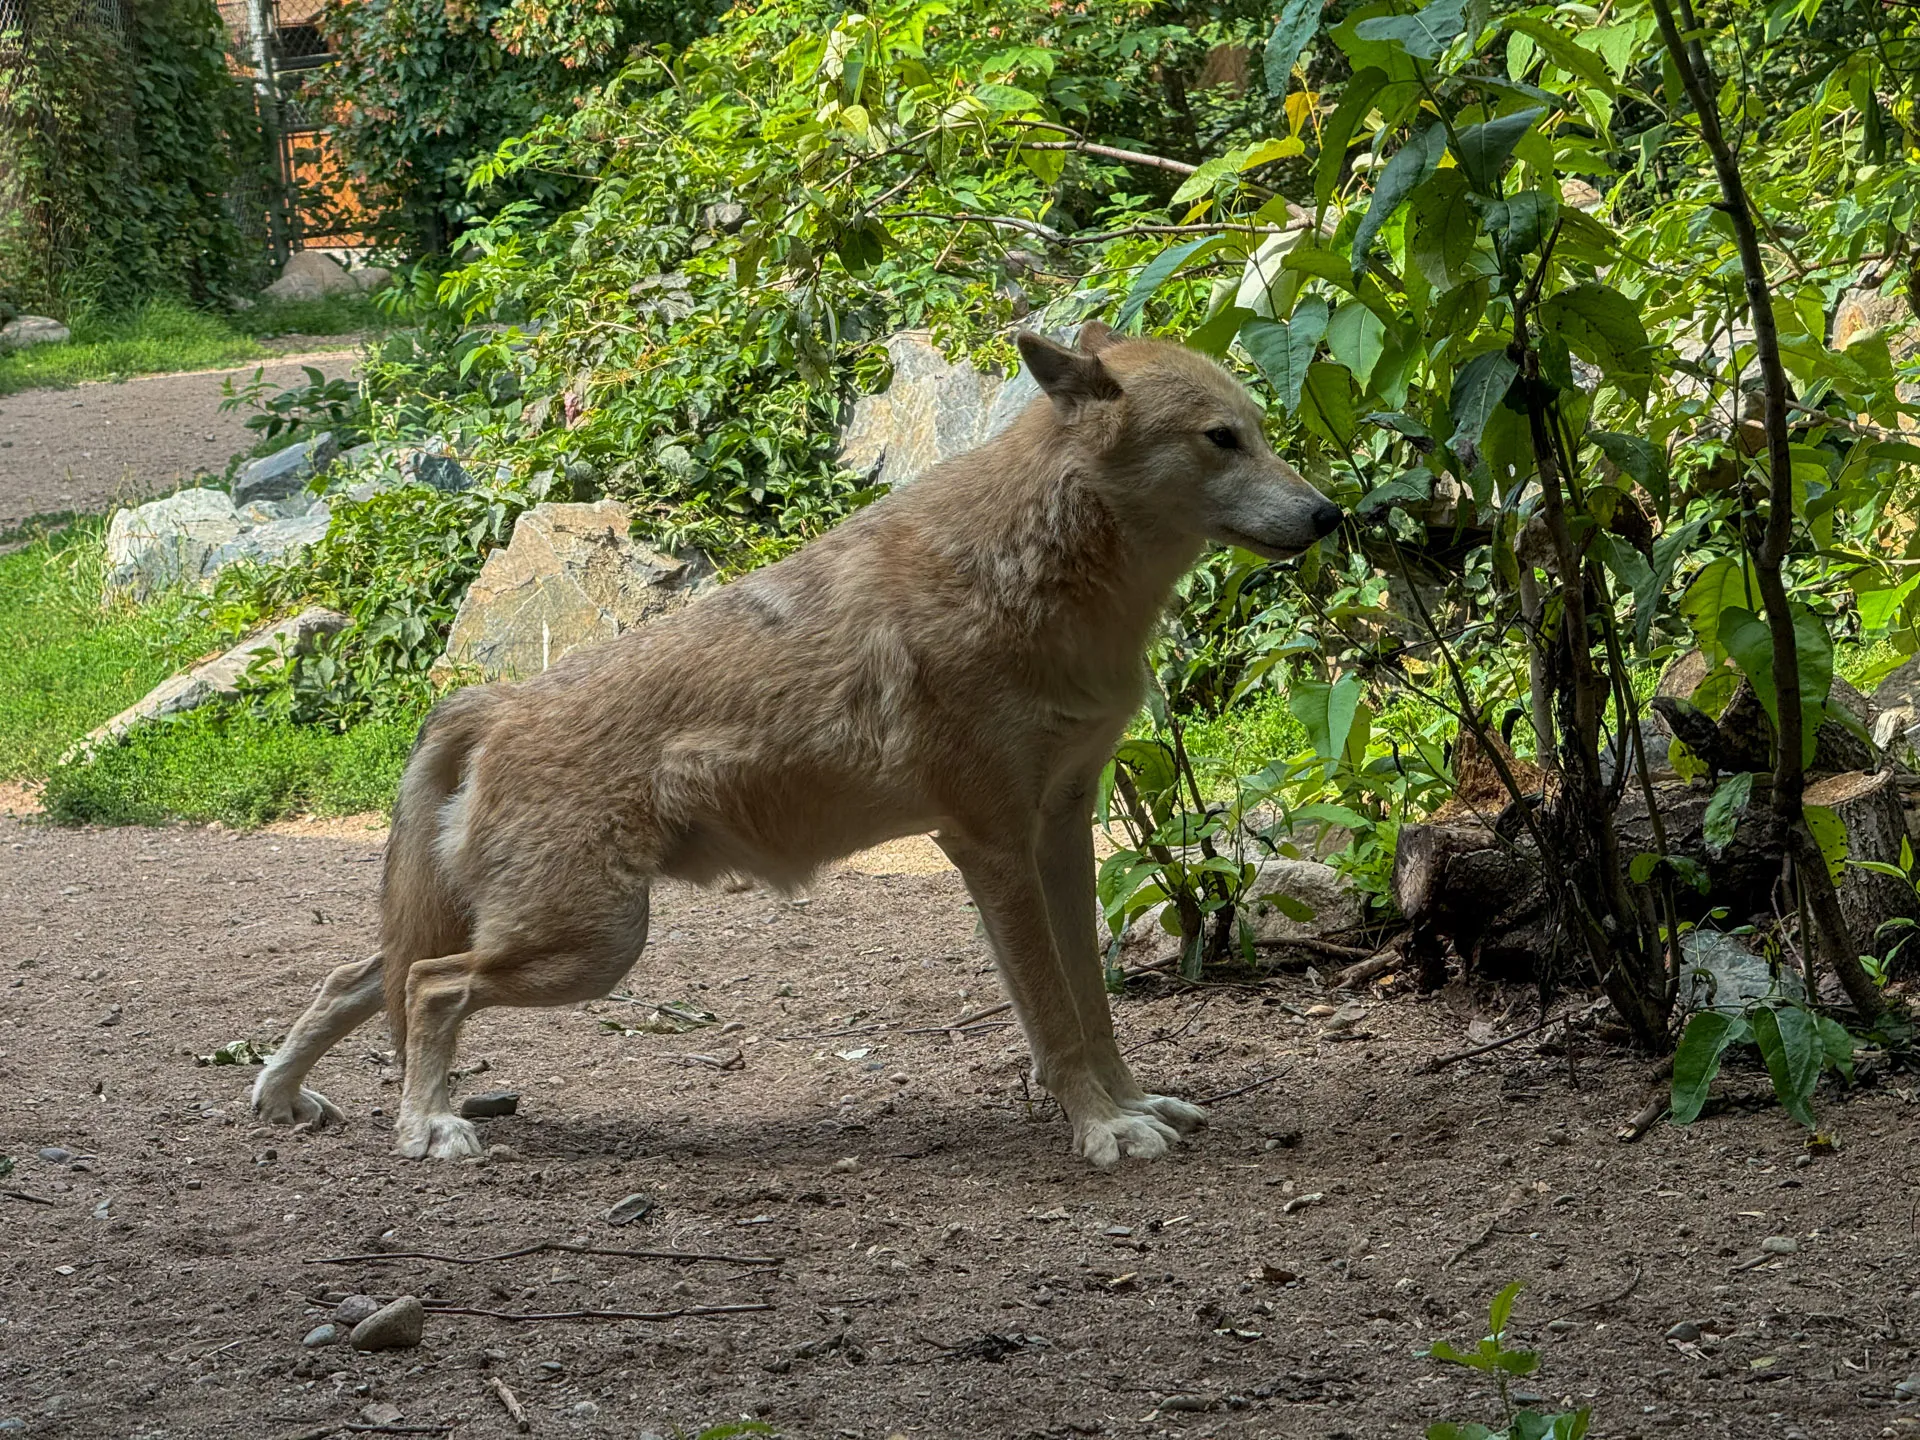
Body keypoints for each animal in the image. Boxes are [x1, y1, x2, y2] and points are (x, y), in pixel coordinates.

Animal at [250, 320, 1342, 1166]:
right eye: (1222, 440)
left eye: (1261, 434)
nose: (1331, 514)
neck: (1043, 572)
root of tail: (494, 702)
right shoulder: (992, 846)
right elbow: (1056, 1016)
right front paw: (1104, 1132)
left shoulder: (1058, 836)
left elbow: (1088, 1008)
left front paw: (1130, 1105)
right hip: (592, 948)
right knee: (427, 987)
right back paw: (425, 1128)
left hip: (549, 937)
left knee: (360, 977)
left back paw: (282, 1096)